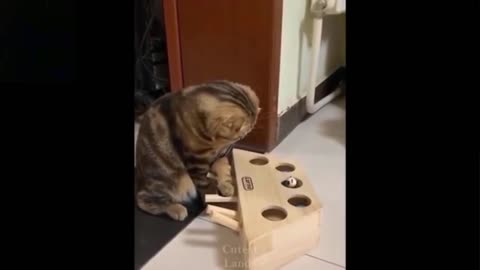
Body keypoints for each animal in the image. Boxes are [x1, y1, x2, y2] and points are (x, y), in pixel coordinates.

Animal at [135, 79, 260, 219]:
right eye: (241, 135)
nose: (229, 148)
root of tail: (140, 182)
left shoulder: (218, 157)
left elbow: (223, 170)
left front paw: (226, 185)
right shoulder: (196, 164)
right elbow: (205, 187)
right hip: (172, 180)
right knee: (144, 200)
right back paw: (176, 209)